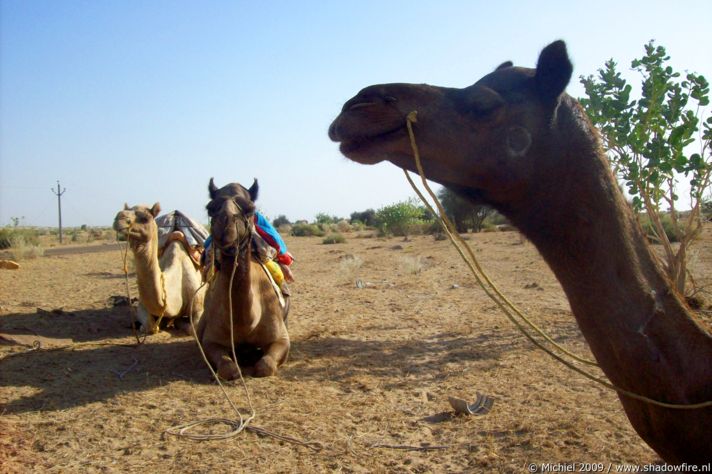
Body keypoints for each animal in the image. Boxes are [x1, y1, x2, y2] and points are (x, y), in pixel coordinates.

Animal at [112, 203, 204, 334]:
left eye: (145, 218)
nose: (119, 218)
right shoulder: (142, 306)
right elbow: (149, 326)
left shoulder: (198, 305)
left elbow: (193, 328)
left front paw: (177, 321)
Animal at [195, 178, 290, 378]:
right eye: (210, 208)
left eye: (250, 209)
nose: (225, 225)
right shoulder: (210, 340)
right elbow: (229, 369)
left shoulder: (282, 338)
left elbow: (265, 367)